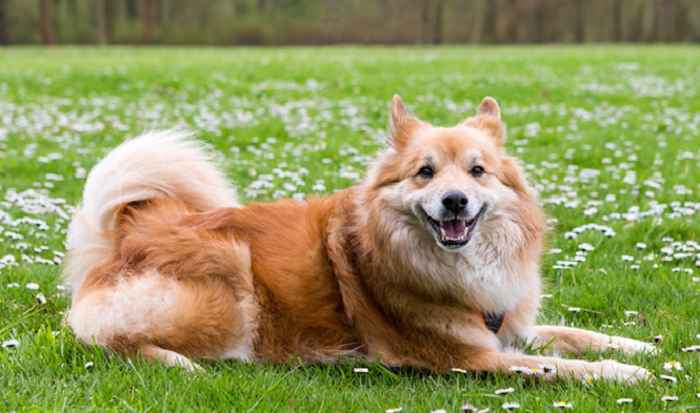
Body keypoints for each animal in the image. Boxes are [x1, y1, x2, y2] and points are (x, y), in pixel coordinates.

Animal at [61, 95, 656, 382]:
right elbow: (563, 366)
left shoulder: (507, 325)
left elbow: (575, 335)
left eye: (477, 171)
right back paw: (182, 363)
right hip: (228, 285)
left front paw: (639, 346)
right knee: (104, 340)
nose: (455, 201)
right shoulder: (469, 357)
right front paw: (625, 374)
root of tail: (131, 231)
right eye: (425, 172)